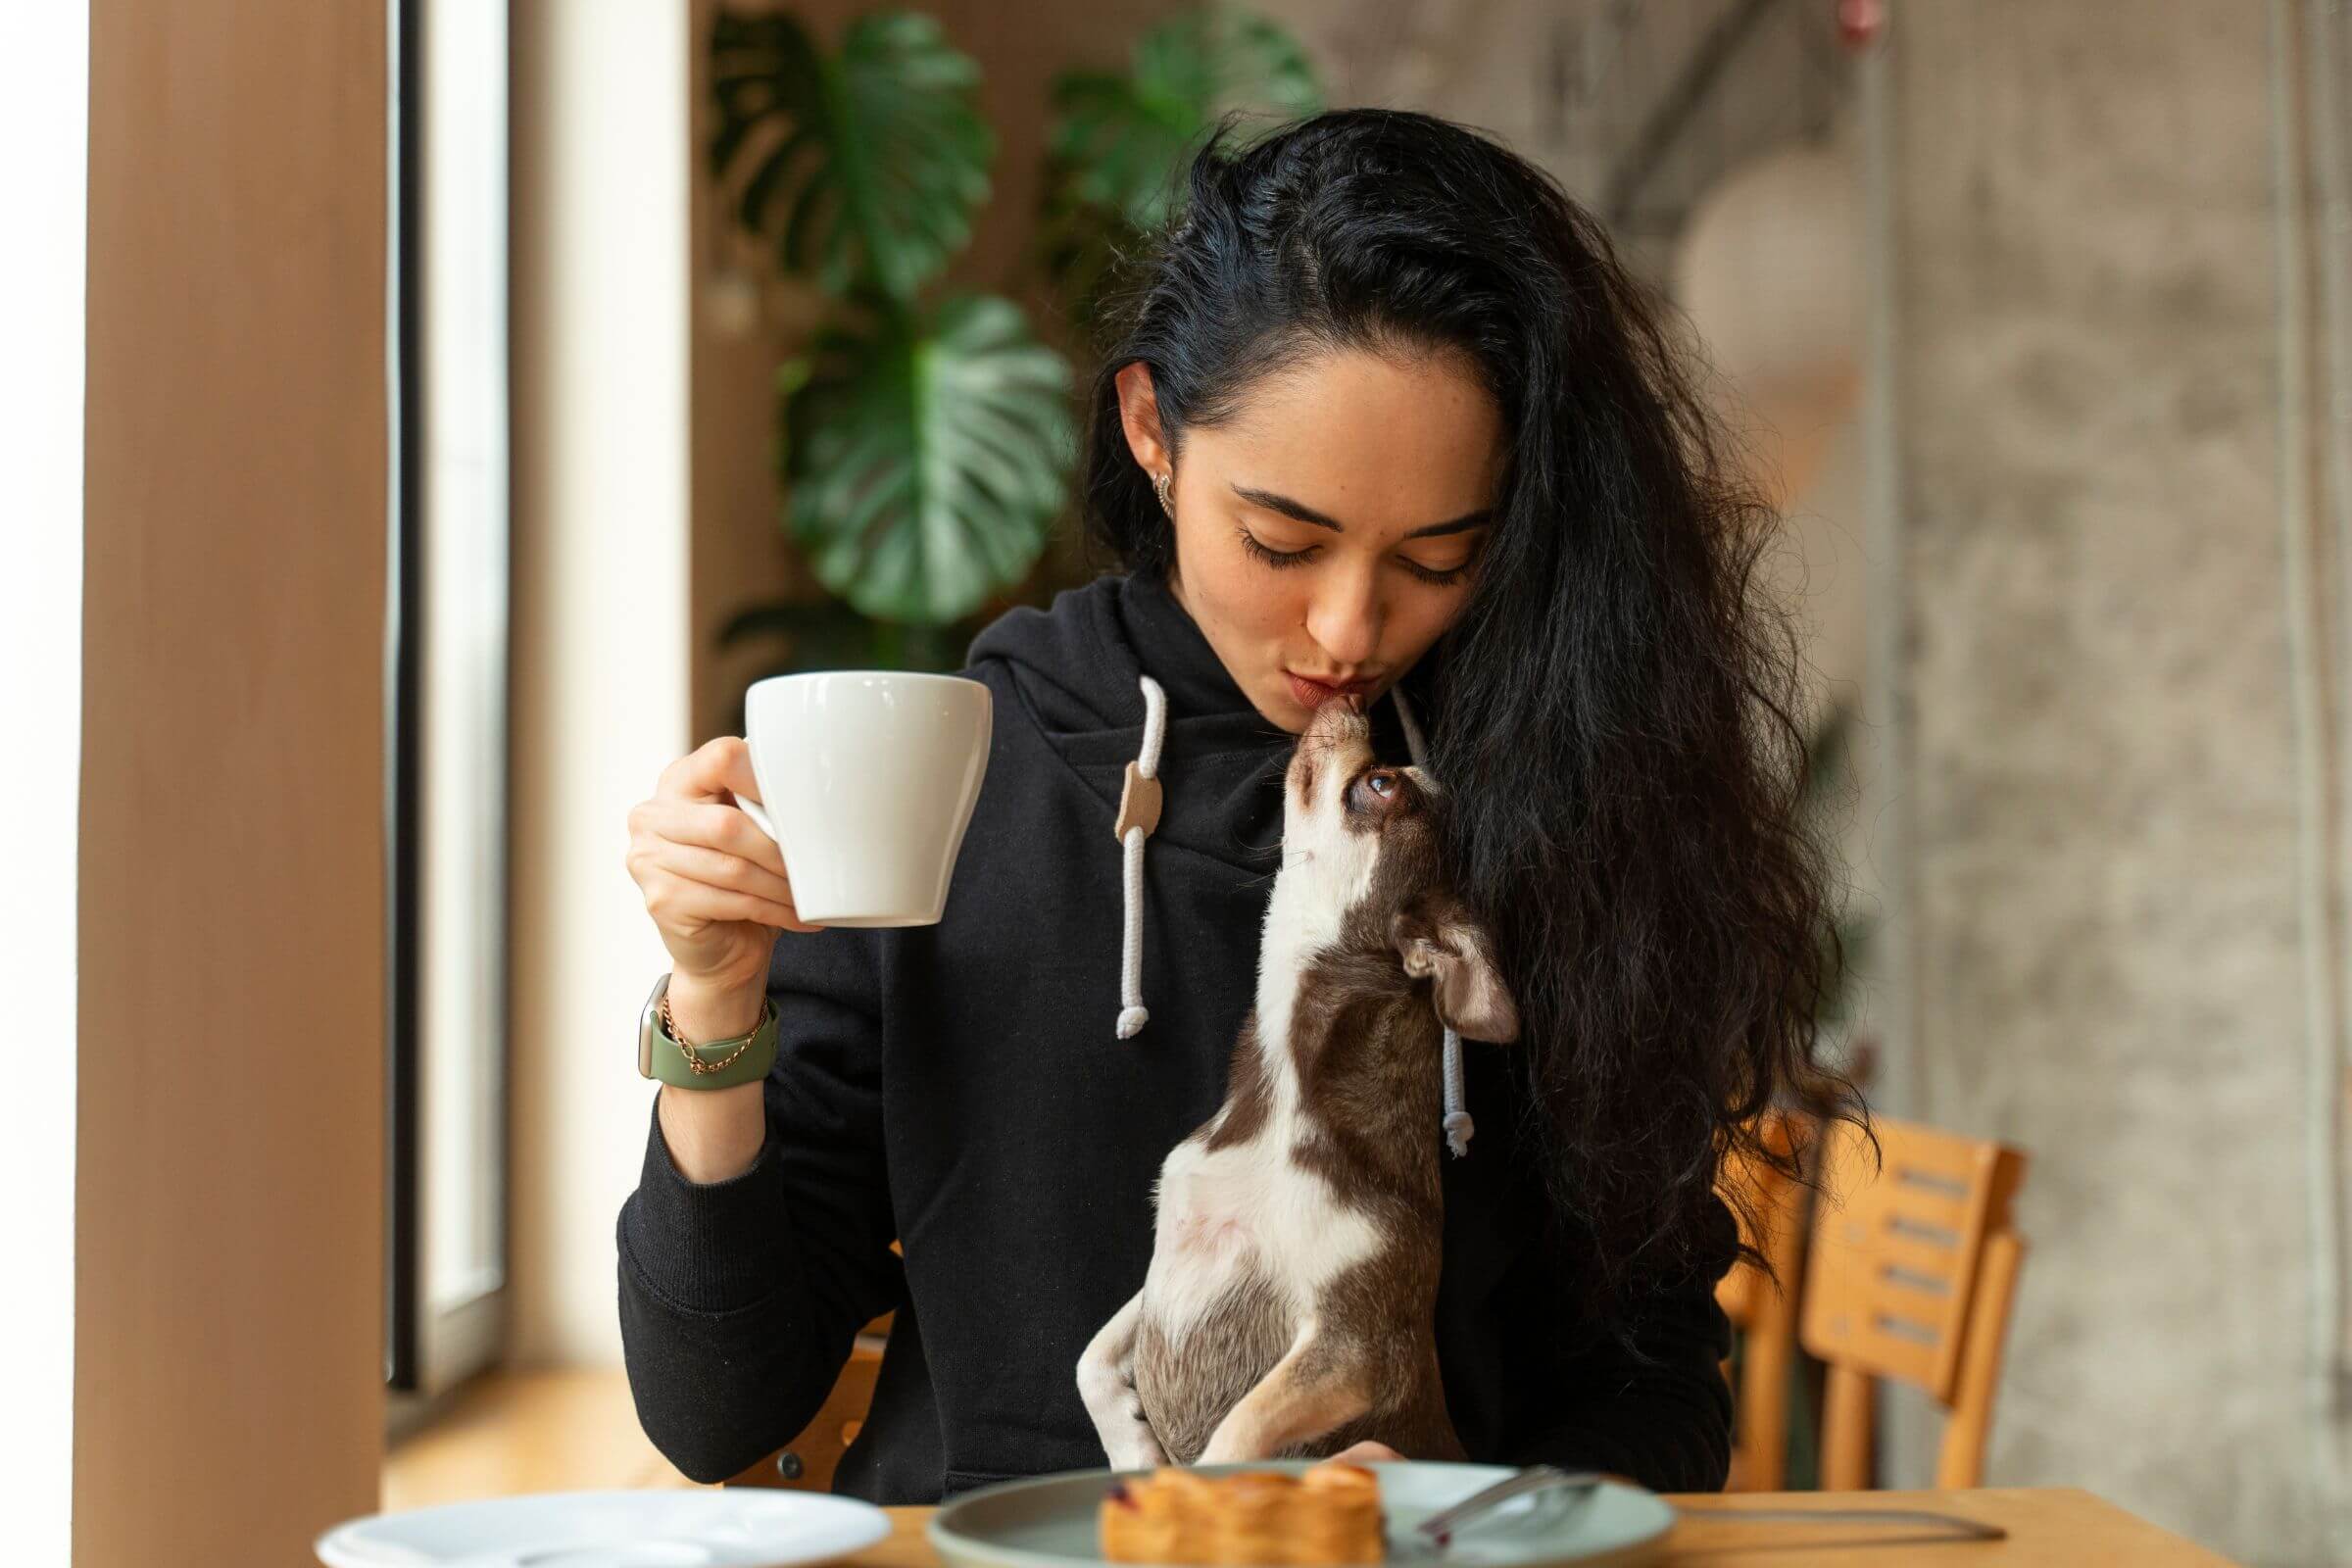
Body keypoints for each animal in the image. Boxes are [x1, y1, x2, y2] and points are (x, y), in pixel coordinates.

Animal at [1077, 700, 1514, 1476]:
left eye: (1380, 785)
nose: (1354, 703)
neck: (1279, 1100)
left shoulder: (1356, 1348)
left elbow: (1237, 1435)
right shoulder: (1161, 1272)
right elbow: (1091, 1359)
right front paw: (1130, 1447)